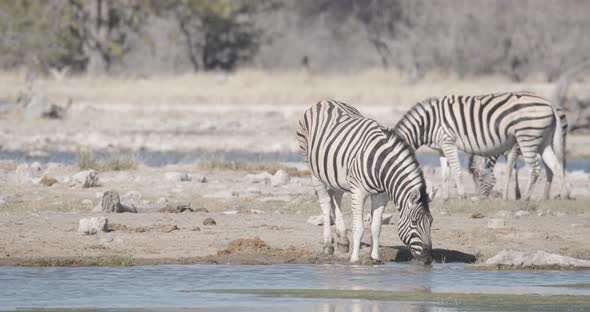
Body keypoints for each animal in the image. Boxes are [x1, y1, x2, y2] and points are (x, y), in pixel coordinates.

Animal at [296, 100, 434, 264]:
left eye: (431, 222)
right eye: (414, 222)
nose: (428, 258)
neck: (380, 165)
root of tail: (324, 101)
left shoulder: (381, 196)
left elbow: (376, 227)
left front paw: (374, 257)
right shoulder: (358, 192)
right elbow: (359, 227)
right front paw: (355, 259)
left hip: (337, 175)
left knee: (336, 198)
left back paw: (343, 241)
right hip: (313, 171)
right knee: (325, 203)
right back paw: (328, 244)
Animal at [396, 91, 572, 201]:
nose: (480, 198)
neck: (427, 123)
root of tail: (549, 103)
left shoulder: (448, 141)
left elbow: (456, 170)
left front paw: (461, 196)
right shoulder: (441, 148)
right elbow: (445, 174)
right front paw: (445, 198)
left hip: (527, 138)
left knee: (535, 169)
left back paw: (527, 198)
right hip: (543, 141)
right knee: (556, 165)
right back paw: (562, 196)